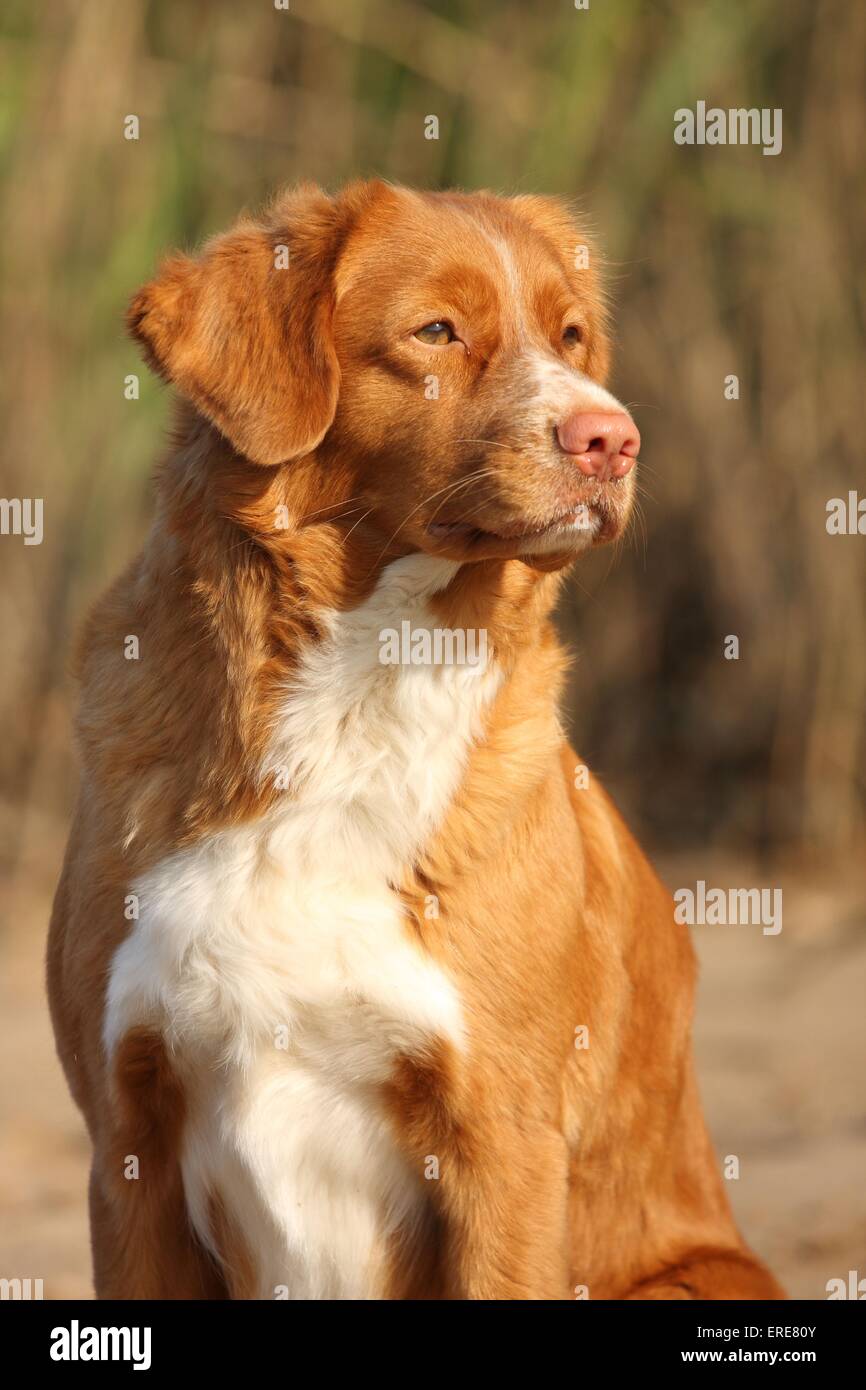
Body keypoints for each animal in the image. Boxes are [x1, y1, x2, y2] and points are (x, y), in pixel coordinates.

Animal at [45, 179, 783, 1295]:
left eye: (570, 335)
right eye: (436, 331)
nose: (612, 439)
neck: (356, 691)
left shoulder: (502, 1146)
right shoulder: (128, 1145)